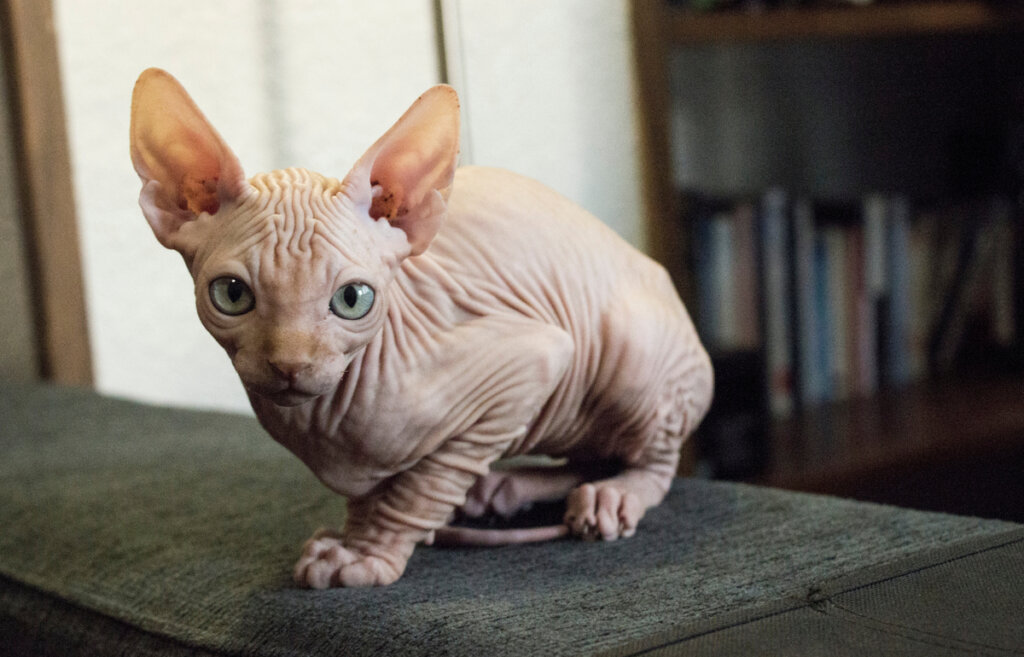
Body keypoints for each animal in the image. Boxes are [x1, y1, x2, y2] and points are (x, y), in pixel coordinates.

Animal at [128, 69, 712, 585]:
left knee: (652, 460)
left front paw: (368, 554)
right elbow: (371, 492)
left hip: (631, 352)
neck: (320, 420)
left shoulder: (531, 360)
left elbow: (423, 485)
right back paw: (504, 488)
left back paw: (615, 495)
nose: (291, 364)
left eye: (352, 299)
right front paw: (353, 537)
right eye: (232, 294)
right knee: (593, 455)